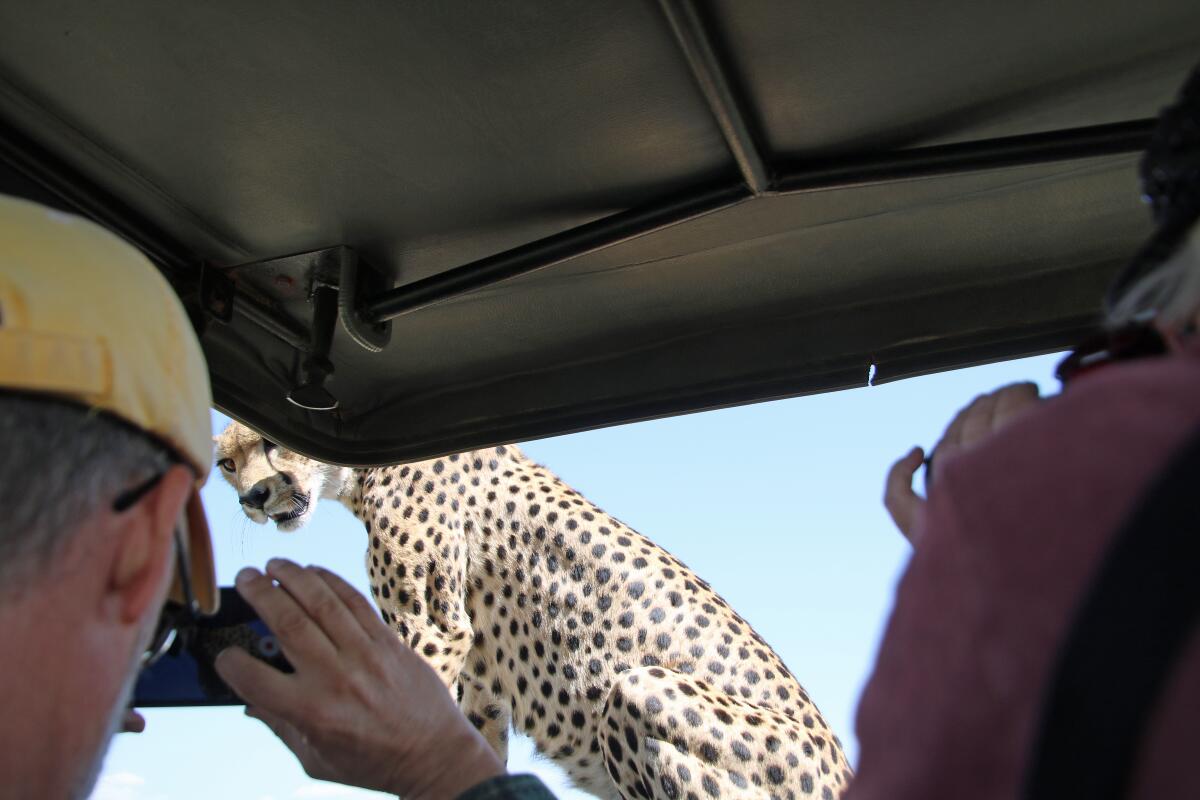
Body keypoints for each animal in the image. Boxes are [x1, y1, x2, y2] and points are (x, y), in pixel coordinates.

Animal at [218, 422, 854, 796]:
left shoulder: (432, 632)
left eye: (270, 443)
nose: (252, 497)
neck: (360, 471)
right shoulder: (476, 682)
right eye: (227, 463)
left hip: (641, 688)